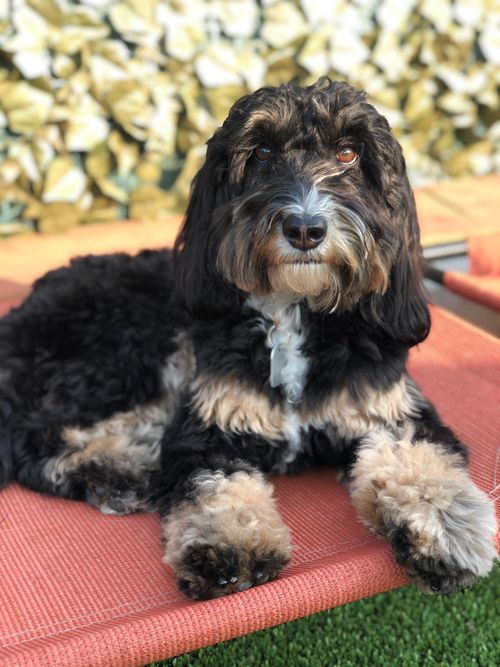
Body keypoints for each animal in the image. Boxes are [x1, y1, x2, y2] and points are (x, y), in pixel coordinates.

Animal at [0, 79, 496, 600]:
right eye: (261, 152)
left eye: (349, 153)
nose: (305, 228)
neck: (293, 314)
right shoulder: (211, 423)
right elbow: (214, 482)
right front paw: (230, 543)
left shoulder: (388, 413)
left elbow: (419, 460)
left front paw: (444, 526)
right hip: (127, 351)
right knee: (36, 436)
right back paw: (121, 471)